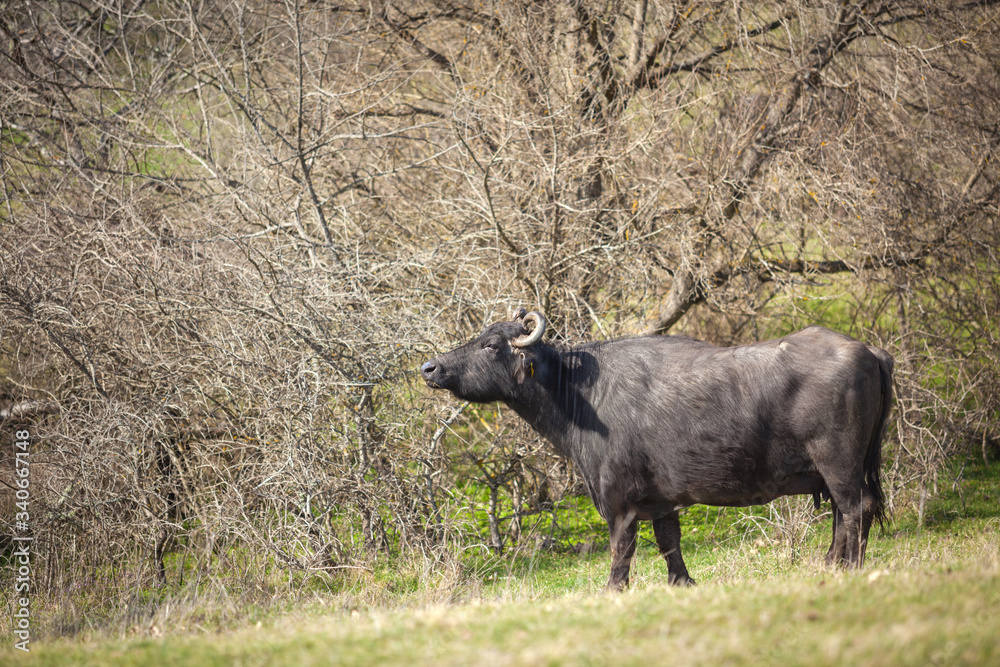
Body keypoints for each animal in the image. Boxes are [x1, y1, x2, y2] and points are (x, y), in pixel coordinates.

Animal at [421, 308, 893, 589]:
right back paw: (830, 564)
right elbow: (670, 542)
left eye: (490, 345)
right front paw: (682, 583)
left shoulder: (618, 503)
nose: (430, 367)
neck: (582, 394)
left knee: (857, 510)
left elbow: (621, 551)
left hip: (840, 464)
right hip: (834, 471)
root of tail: (869, 349)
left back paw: (850, 567)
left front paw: (613, 590)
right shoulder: (664, 501)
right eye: (479, 336)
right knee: (843, 515)